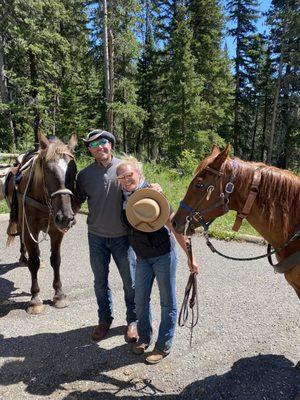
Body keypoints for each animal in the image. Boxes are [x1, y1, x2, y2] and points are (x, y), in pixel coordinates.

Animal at [6, 133, 78, 314]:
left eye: (74, 170)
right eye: (47, 170)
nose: (66, 217)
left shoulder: (57, 231)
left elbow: (56, 260)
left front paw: (59, 295)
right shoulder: (29, 228)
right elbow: (34, 263)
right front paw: (35, 299)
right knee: (24, 242)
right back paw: (23, 258)